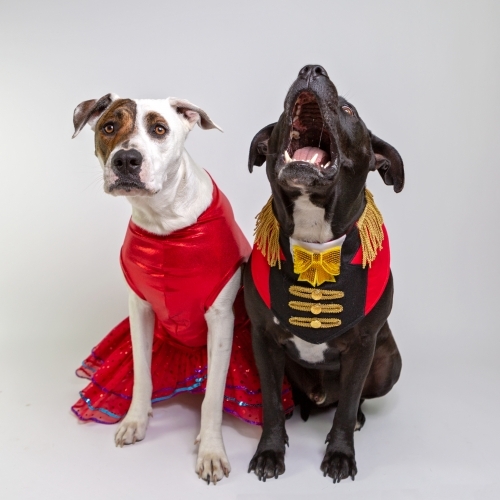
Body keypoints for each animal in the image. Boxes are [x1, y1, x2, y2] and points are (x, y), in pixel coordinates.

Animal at [73, 94, 247, 484]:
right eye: (109, 126)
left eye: (159, 129)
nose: (126, 159)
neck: (166, 222)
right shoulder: (140, 311)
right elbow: (141, 372)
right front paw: (135, 420)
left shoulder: (221, 321)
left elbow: (213, 395)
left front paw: (211, 451)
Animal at [244, 64, 404, 482]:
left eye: (349, 111)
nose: (312, 69)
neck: (314, 241)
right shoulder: (263, 339)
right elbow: (270, 402)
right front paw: (269, 451)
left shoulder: (363, 345)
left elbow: (346, 407)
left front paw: (340, 454)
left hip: (389, 364)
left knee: (351, 399)